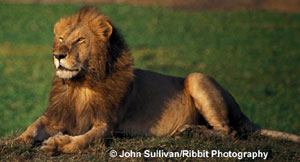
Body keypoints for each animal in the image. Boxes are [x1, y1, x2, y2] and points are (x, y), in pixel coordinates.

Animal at [15, 6, 300, 153]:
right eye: (62, 38)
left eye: (81, 40)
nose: (58, 55)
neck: (81, 84)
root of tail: (240, 110)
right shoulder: (58, 114)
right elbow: (33, 125)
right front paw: (18, 141)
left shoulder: (107, 123)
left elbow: (86, 139)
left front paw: (58, 144)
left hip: (197, 77)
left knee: (229, 132)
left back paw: (193, 132)